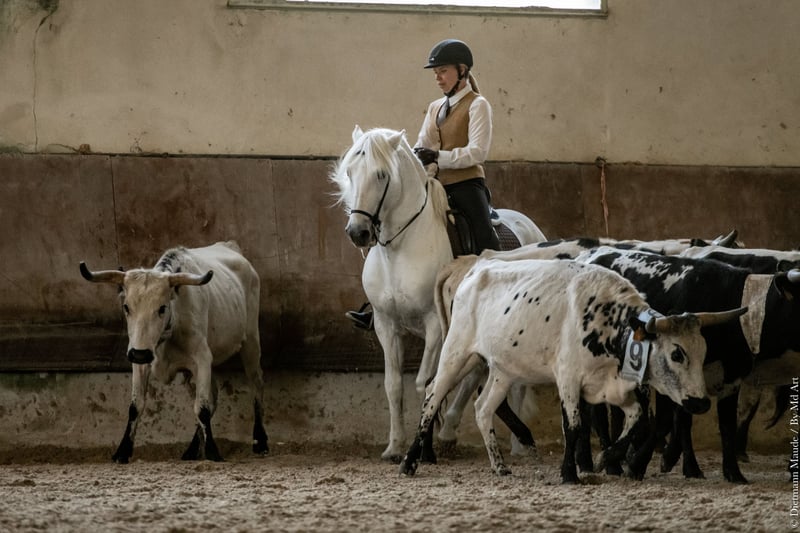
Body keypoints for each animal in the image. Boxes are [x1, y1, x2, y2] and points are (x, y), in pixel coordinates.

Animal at [80, 241, 268, 463]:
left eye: (162, 308)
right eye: (126, 307)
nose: (140, 354)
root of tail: (230, 246)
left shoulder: (202, 359)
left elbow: (201, 408)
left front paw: (213, 452)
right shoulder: (142, 360)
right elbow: (136, 406)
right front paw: (122, 451)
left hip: (251, 342)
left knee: (256, 384)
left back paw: (260, 442)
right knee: (213, 396)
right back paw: (192, 450)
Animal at [330, 126, 547, 462]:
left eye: (381, 175)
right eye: (350, 172)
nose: (358, 232)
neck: (401, 248)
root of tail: (531, 226)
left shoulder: (434, 324)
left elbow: (426, 382)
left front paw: (424, 447)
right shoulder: (385, 324)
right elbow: (394, 385)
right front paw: (395, 446)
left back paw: (514, 444)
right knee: (474, 374)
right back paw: (451, 432)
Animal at [399, 258, 745, 483]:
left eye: (703, 352)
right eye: (676, 353)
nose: (701, 402)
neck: (609, 321)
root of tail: (473, 270)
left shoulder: (614, 388)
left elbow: (636, 424)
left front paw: (607, 459)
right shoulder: (567, 378)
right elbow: (574, 426)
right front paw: (570, 473)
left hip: (502, 369)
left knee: (484, 408)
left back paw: (499, 465)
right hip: (458, 353)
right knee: (432, 396)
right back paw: (409, 462)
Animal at [578, 247, 800, 482]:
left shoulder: (730, 379)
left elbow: (725, 424)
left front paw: (731, 472)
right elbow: (668, 421)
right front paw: (639, 464)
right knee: (595, 414)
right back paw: (600, 464)